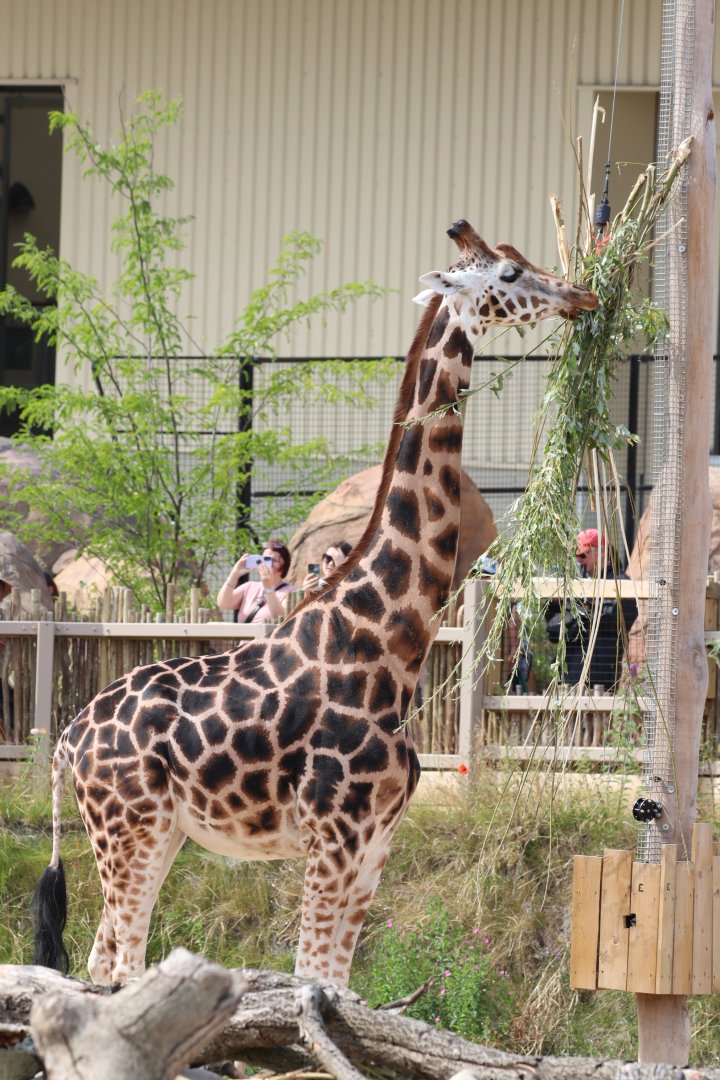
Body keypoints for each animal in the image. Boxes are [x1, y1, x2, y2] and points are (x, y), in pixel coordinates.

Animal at [33, 221, 598, 986]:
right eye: (509, 273)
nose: (581, 294)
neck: (389, 642)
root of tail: (68, 739)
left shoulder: (376, 843)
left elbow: (336, 987)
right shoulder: (335, 837)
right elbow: (309, 981)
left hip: (161, 831)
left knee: (105, 959)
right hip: (130, 829)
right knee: (117, 962)